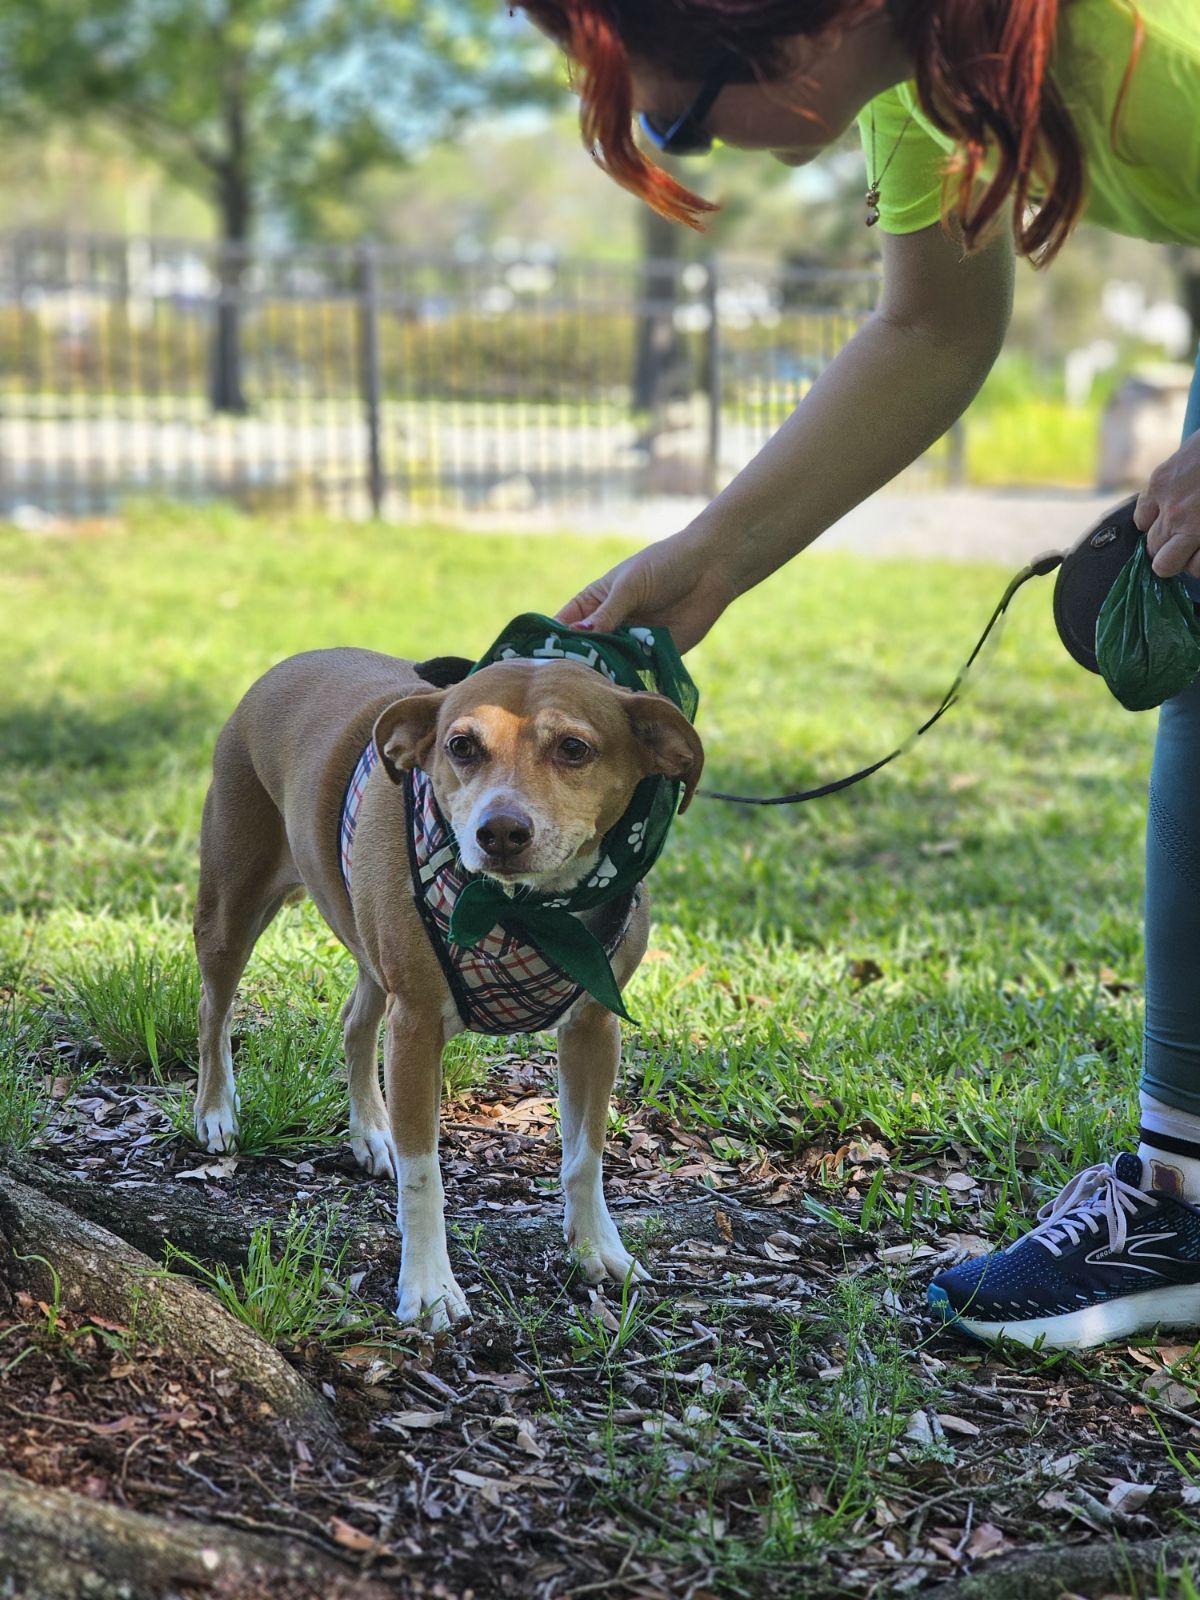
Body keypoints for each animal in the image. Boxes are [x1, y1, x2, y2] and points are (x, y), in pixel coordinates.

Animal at [192, 646, 704, 1324]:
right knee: (214, 1011)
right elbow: (424, 1175)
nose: (501, 831)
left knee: (355, 1022)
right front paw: (430, 1287)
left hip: (367, 939)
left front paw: (597, 1248)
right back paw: (216, 1113)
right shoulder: (416, 1027)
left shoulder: (595, 1026)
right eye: (461, 746)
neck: (525, 912)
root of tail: (290, 662)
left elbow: (585, 1156)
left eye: (574, 747)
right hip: (231, 906)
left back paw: (370, 1131)